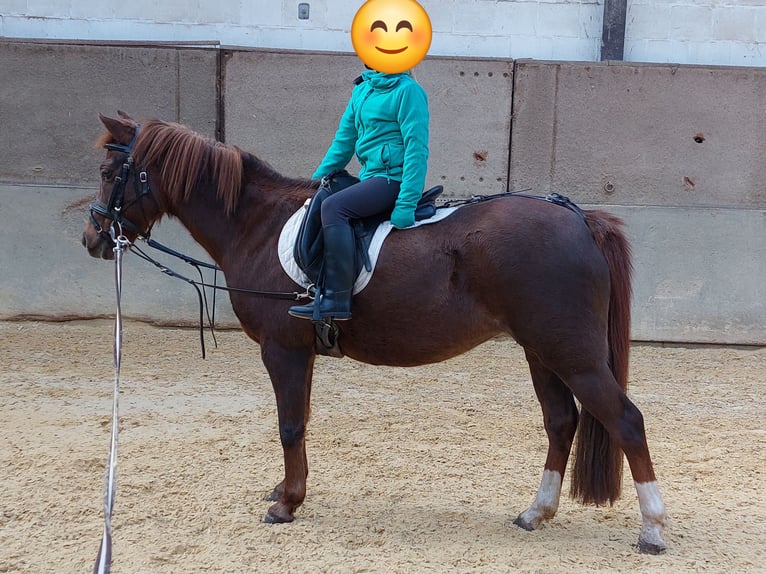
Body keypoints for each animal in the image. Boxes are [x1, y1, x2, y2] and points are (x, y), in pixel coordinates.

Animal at [82, 112, 667, 554]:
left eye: (111, 171)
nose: (93, 237)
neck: (258, 224)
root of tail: (579, 219)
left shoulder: (282, 349)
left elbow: (289, 425)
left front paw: (287, 504)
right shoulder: (302, 352)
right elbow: (300, 422)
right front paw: (287, 490)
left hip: (572, 355)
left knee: (625, 421)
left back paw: (653, 530)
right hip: (542, 352)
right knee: (561, 422)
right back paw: (536, 512)